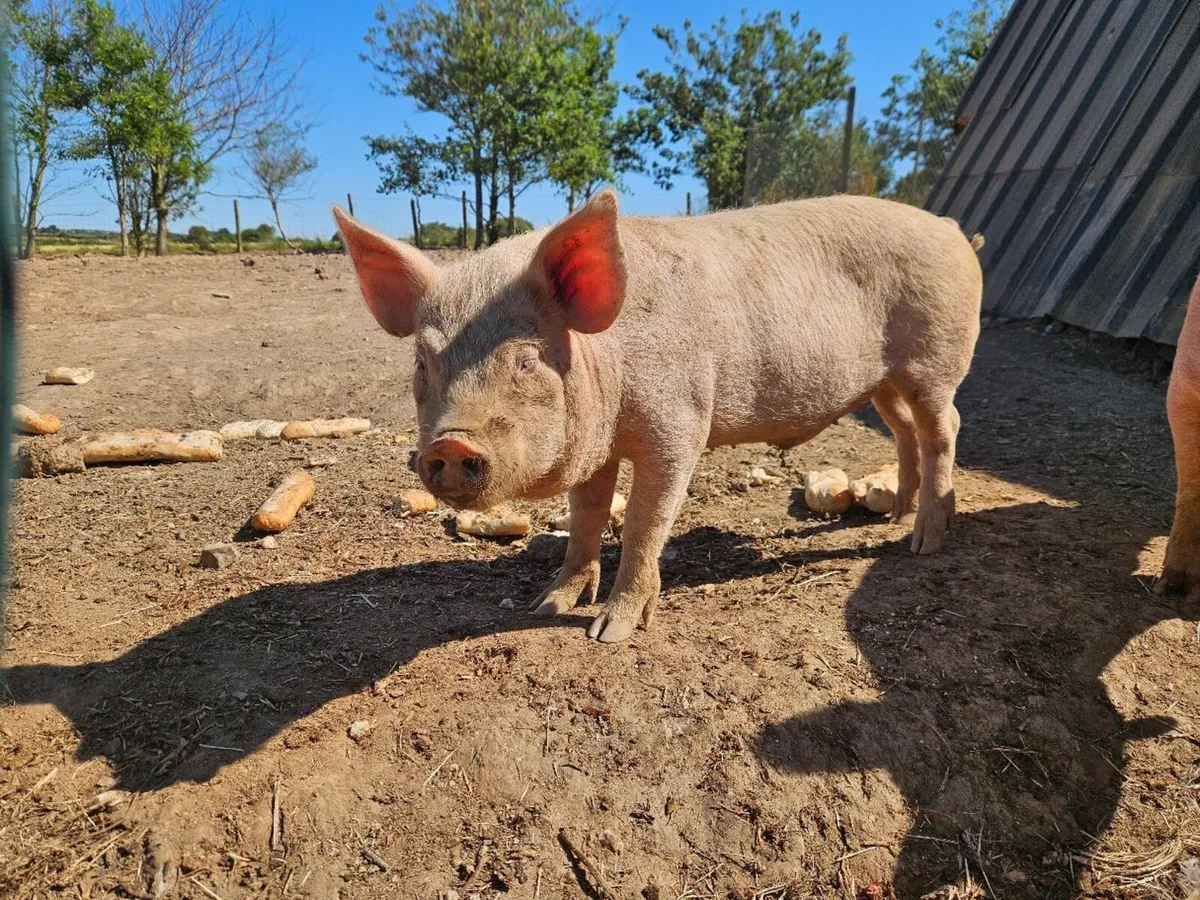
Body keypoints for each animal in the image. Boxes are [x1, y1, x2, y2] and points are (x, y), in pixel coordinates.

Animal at [333, 191, 983, 643]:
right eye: (423, 363)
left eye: (526, 359)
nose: (451, 445)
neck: (608, 362)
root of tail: (953, 230)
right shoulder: (595, 448)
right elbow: (587, 518)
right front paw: (547, 604)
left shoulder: (680, 425)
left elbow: (645, 524)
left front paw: (609, 634)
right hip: (884, 383)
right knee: (905, 431)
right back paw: (895, 514)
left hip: (934, 358)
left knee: (944, 429)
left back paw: (922, 543)